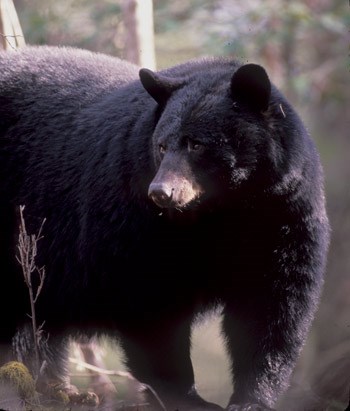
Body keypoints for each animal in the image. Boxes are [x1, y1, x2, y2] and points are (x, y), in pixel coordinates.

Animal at [0, 48, 328, 411]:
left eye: (196, 144)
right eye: (161, 145)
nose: (160, 192)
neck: (223, 210)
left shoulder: (282, 215)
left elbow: (271, 304)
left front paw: (251, 398)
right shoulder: (135, 218)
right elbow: (149, 299)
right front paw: (185, 396)